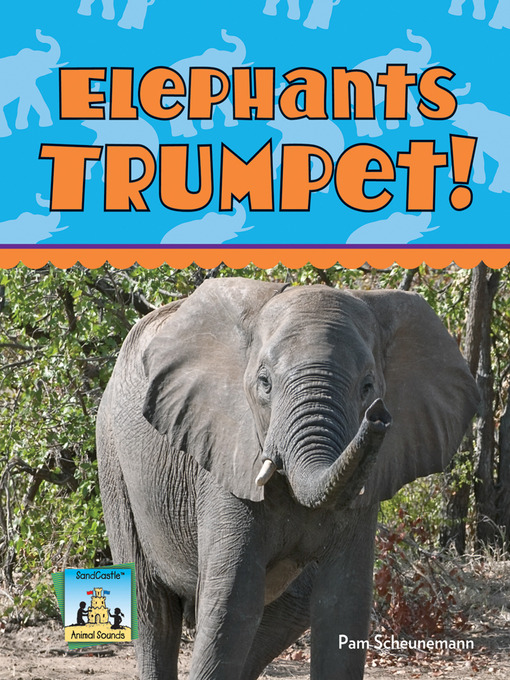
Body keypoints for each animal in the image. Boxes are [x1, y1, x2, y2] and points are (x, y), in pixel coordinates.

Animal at [97, 277, 478, 680]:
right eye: (264, 382)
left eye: (368, 387)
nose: (378, 417)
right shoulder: (225, 459)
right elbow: (233, 602)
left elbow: (342, 604)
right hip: (113, 458)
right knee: (151, 607)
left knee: (288, 609)